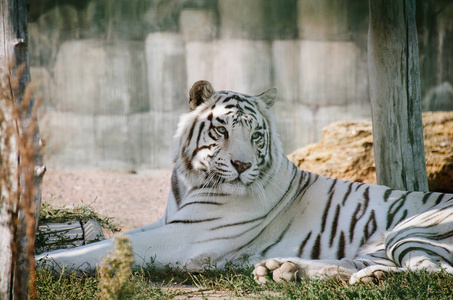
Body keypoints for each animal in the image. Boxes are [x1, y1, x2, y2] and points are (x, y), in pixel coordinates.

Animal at [38, 80, 452, 284]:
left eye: (255, 136)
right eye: (221, 129)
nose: (241, 164)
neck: (189, 179)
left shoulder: (183, 236)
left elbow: (104, 249)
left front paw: (42, 262)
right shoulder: (168, 222)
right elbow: (111, 238)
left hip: (408, 232)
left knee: (431, 273)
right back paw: (286, 270)